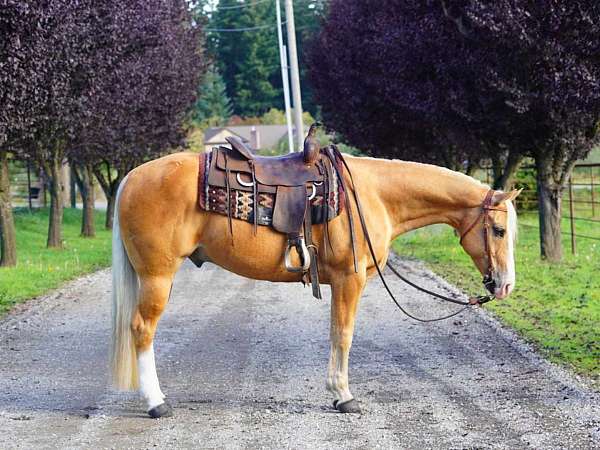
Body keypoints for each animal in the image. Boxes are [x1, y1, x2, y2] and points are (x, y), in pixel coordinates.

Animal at [111, 152, 520, 418]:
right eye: (499, 230)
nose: (505, 286)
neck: (372, 195)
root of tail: (132, 177)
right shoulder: (349, 279)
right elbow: (343, 334)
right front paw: (343, 395)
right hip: (157, 277)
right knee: (142, 329)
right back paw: (156, 403)